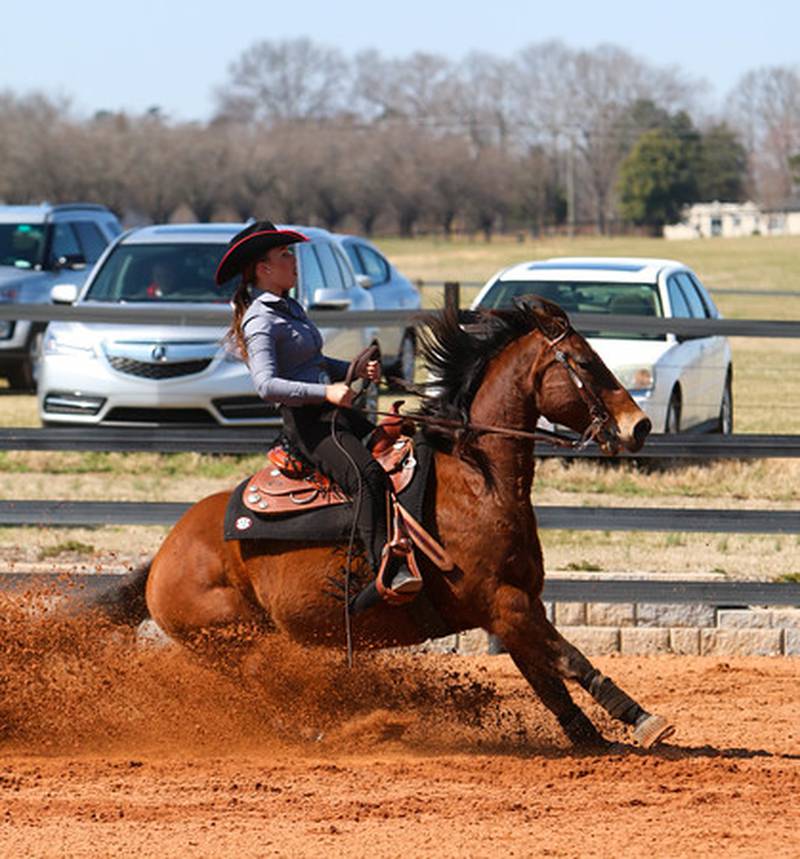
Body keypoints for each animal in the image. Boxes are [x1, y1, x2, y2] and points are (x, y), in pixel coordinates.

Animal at [90, 298, 672, 748]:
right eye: (585, 362)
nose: (639, 426)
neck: (476, 481)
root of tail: (163, 557)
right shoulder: (504, 604)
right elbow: (568, 658)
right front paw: (646, 720)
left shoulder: (513, 609)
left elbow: (548, 678)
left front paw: (592, 739)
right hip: (237, 639)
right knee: (268, 681)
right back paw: (330, 731)